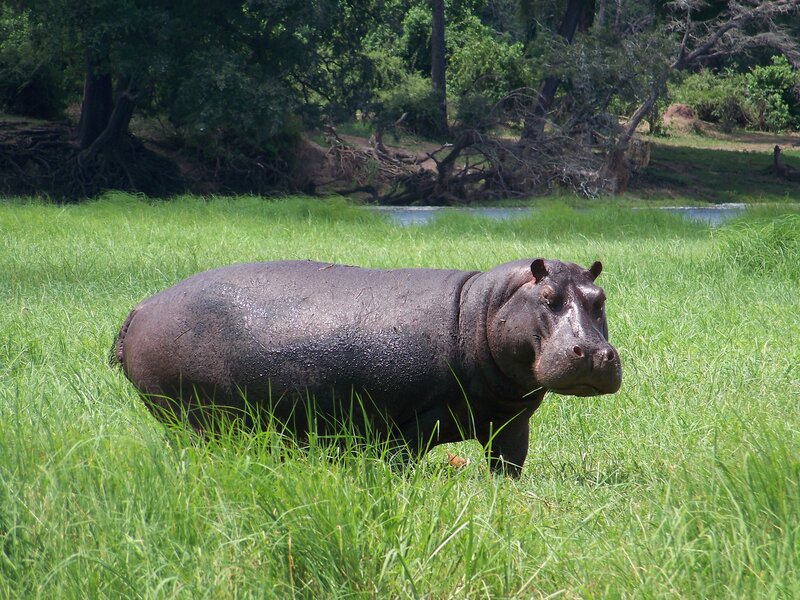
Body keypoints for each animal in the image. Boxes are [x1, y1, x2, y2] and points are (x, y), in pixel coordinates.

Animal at [113, 258, 621, 476]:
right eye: (547, 297)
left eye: (599, 298)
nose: (596, 353)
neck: (483, 309)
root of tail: (139, 308)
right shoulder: (417, 418)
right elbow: (402, 459)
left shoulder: (512, 421)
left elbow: (509, 465)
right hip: (191, 416)